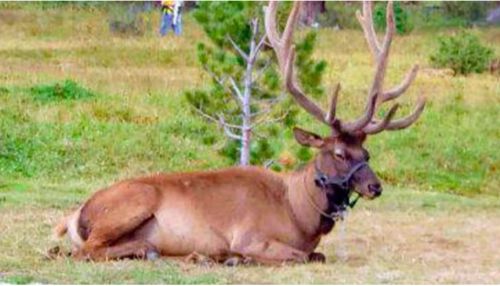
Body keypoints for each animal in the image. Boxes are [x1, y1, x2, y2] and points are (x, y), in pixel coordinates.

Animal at [53, 1, 426, 264]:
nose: (375, 186)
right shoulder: (250, 235)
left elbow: (317, 255)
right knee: (86, 250)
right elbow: (300, 257)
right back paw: (165, 251)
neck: (299, 215)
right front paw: (234, 258)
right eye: (338, 153)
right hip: (133, 201)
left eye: (367, 153)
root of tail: (74, 215)